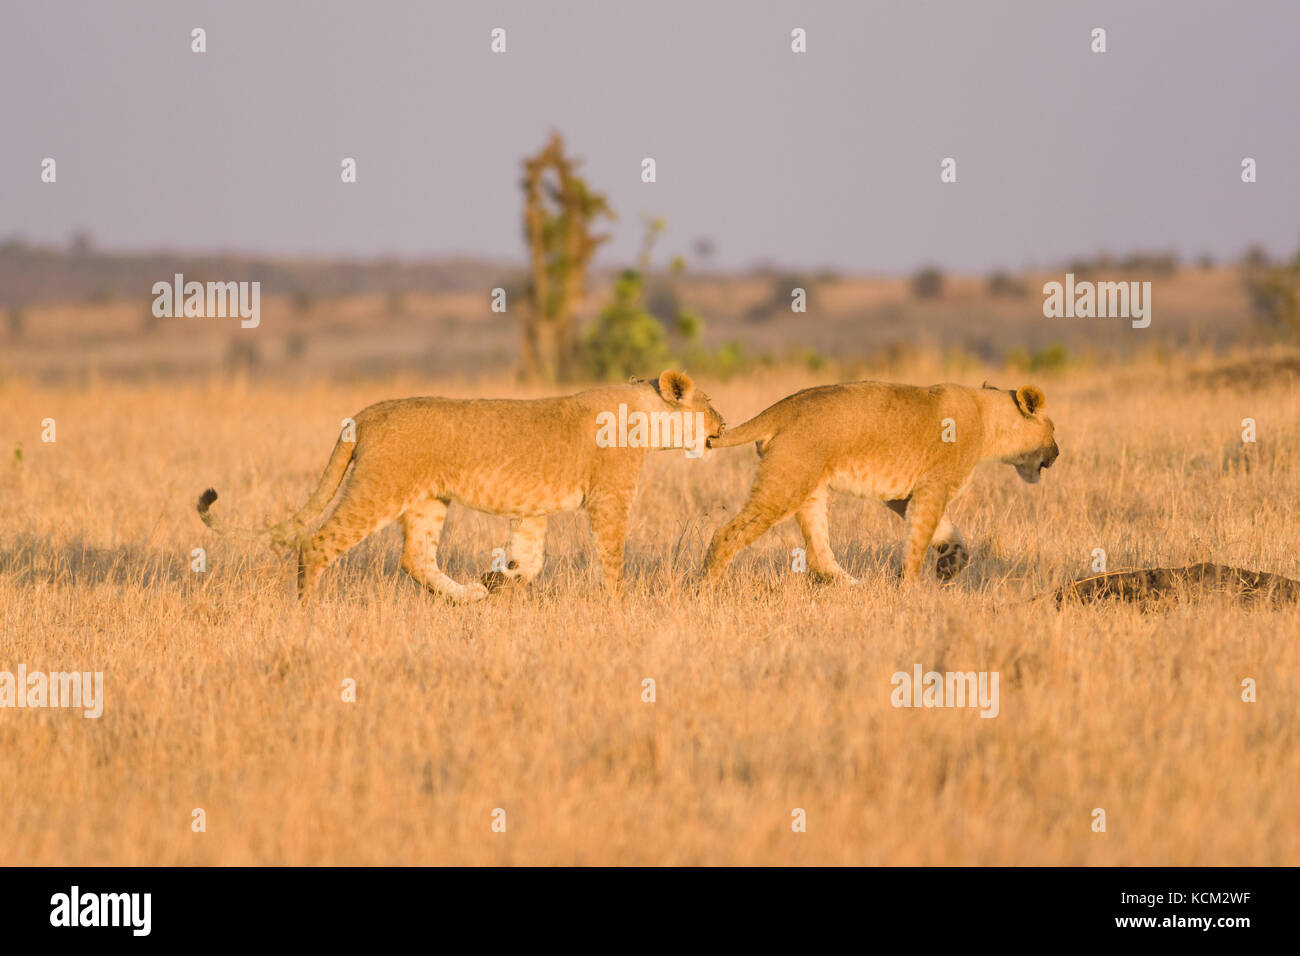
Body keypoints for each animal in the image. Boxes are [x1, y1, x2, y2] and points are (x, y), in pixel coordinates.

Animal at [197, 370, 724, 601]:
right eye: (710, 402)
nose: (723, 422)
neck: (644, 413)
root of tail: (364, 414)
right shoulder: (610, 499)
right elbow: (612, 559)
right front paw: (620, 607)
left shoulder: (530, 510)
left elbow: (531, 560)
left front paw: (498, 580)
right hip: (378, 490)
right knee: (318, 542)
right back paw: (308, 611)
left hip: (428, 501)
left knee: (416, 559)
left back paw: (469, 595)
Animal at [702, 381, 1058, 584]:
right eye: (1053, 430)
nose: (1057, 453)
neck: (989, 421)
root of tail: (781, 408)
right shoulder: (933, 486)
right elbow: (919, 540)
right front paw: (911, 589)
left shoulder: (904, 494)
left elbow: (945, 530)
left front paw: (950, 564)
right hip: (785, 485)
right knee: (725, 535)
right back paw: (705, 590)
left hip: (809, 489)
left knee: (818, 554)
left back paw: (853, 587)